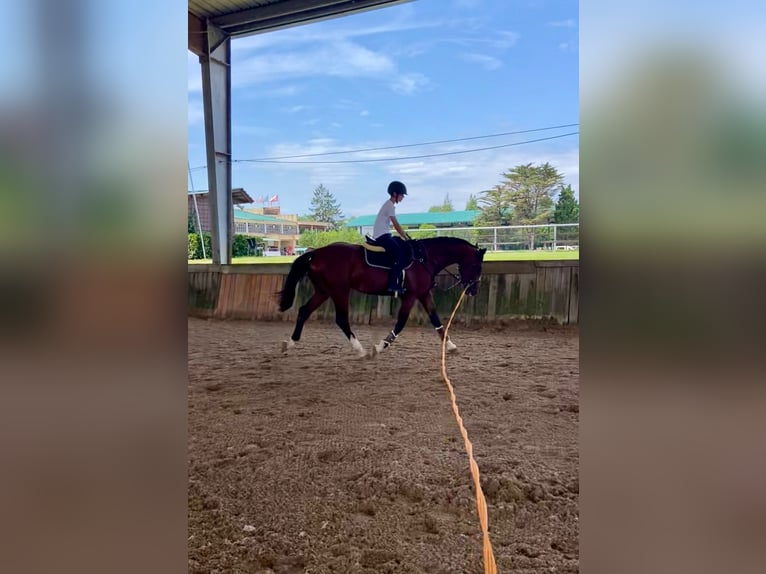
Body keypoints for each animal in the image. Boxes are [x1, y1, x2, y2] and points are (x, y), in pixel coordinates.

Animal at [280, 237, 486, 356]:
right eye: (477, 266)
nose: (474, 290)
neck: (423, 258)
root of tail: (315, 253)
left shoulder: (424, 294)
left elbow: (436, 320)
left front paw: (450, 345)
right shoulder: (410, 296)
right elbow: (401, 322)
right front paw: (381, 345)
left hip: (324, 291)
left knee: (304, 311)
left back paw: (290, 343)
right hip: (339, 291)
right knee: (341, 319)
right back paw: (360, 349)